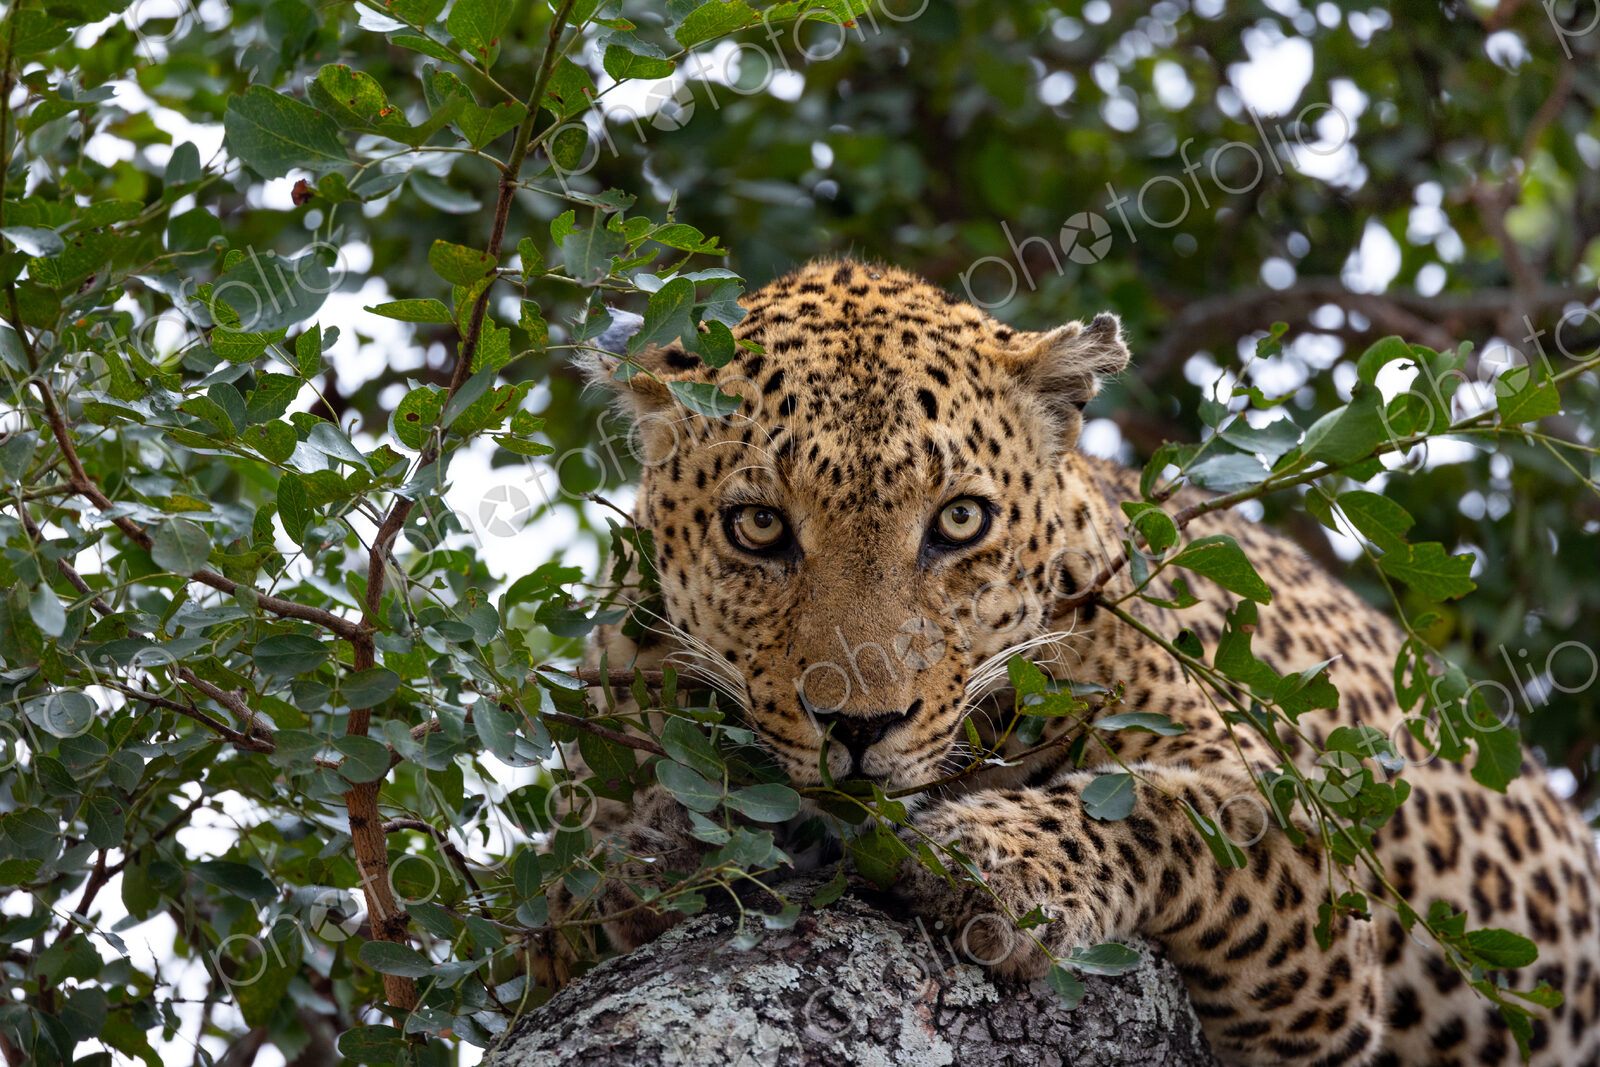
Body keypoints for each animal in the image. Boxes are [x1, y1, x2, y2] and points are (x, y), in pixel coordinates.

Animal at [557, 258, 1600, 1067]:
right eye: (759, 526)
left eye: (959, 520)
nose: (858, 724)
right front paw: (660, 847)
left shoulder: (1308, 859)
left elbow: (1158, 812)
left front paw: (987, 859)